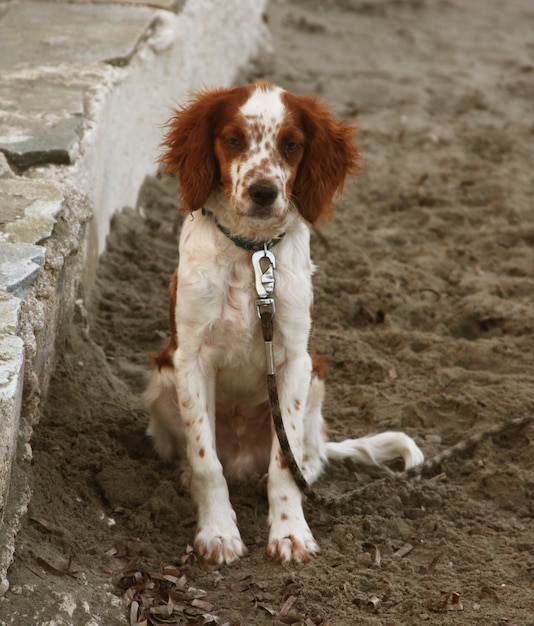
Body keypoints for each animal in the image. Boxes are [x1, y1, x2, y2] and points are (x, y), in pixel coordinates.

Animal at [144, 80, 426, 564]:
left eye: (292, 145)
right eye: (233, 139)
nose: (262, 191)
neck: (252, 252)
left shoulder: (295, 359)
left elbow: (284, 464)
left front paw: (291, 533)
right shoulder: (189, 358)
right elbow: (205, 460)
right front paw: (218, 532)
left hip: (316, 378)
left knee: (310, 455)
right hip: (161, 382)